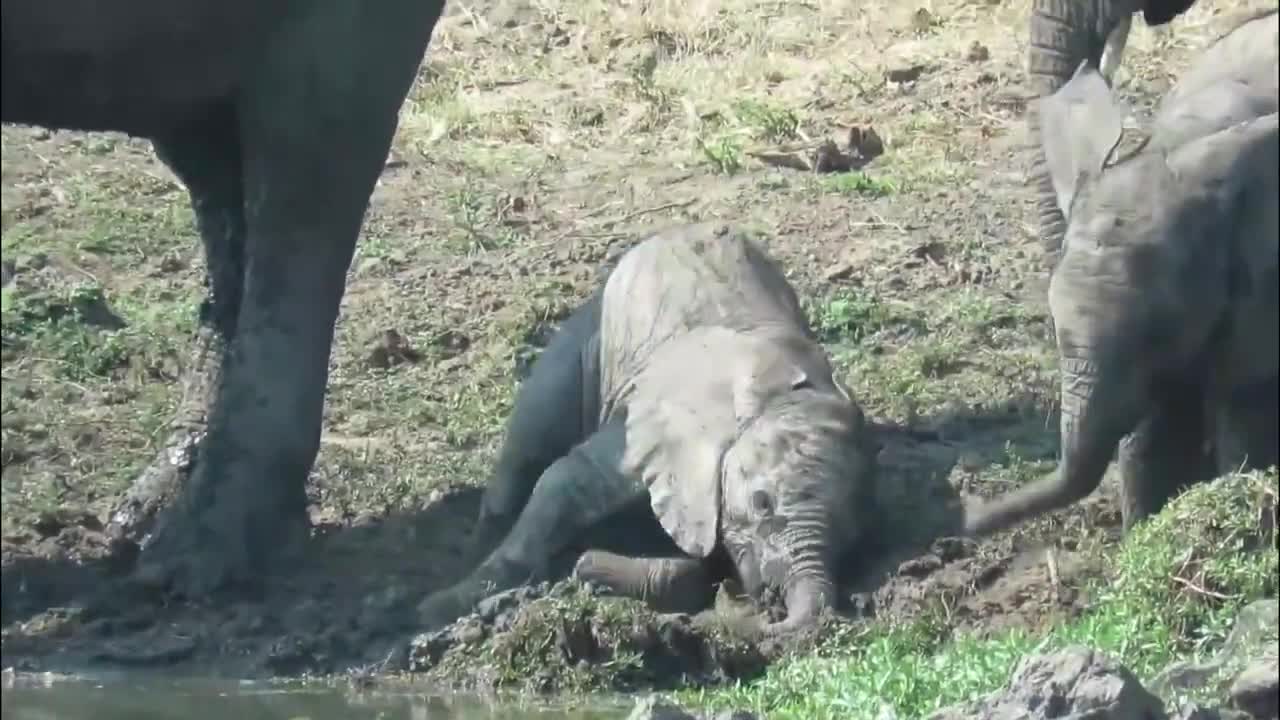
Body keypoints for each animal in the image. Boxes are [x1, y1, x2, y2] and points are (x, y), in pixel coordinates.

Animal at [419, 221, 880, 630]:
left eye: (852, 540)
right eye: (761, 504)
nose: (763, 605)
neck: (773, 394)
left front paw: (589, 567)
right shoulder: (654, 425)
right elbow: (567, 478)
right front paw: (438, 608)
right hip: (579, 341)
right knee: (530, 442)